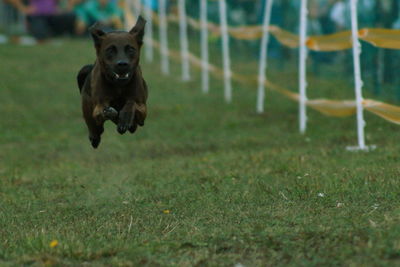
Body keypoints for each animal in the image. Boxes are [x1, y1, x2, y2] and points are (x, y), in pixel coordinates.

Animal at [77, 16, 148, 149]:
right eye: (110, 50)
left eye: (130, 49)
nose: (122, 64)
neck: (118, 86)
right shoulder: (98, 107)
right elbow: (101, 112)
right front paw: (113, 113)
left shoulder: (143, 109)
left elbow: (132, 103)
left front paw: (124, 117)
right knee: (94, 128)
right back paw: (95, 135)